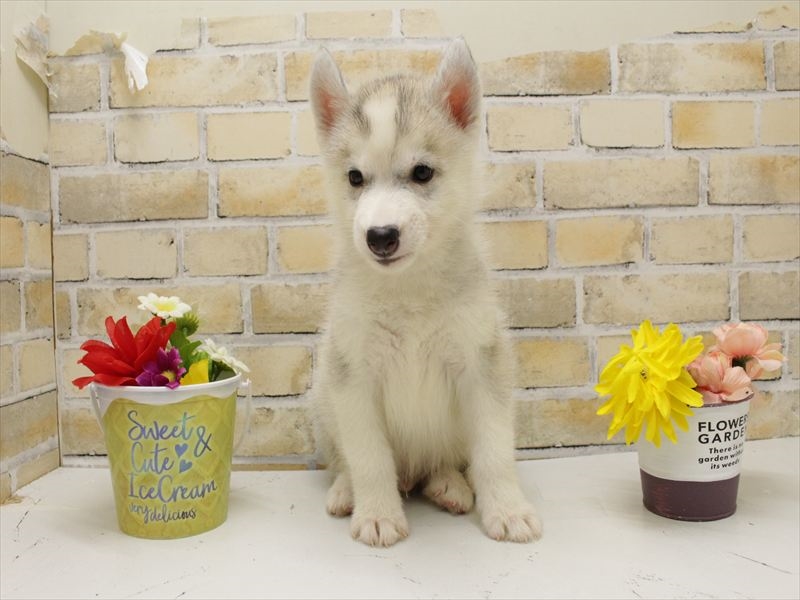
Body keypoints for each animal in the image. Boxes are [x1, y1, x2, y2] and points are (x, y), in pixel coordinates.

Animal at [309, 39, 542, 547]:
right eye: (354, 178)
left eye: (421, 172)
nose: (380, 236)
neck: (408, 291)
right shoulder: (352, 375)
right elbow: (369, 456)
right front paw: (377, 514)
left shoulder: (482, 364)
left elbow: (494, 452)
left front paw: (508, 510)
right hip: (324, 399)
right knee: (348, 461)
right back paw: (346, 491)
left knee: (444, 461)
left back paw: (448, 485)